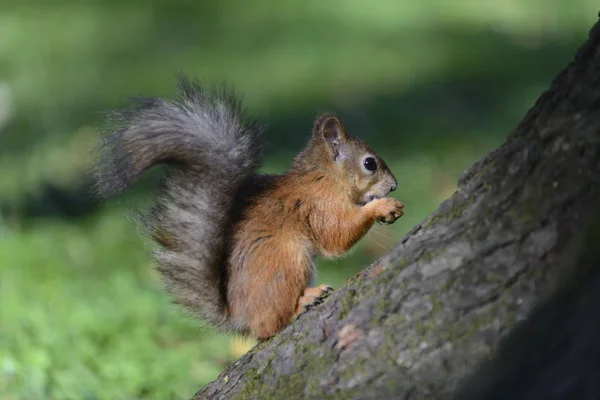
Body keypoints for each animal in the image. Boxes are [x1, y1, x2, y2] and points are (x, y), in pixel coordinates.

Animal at [92, 76, 404, 340]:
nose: (394, 186)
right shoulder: (319, 204)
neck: (326, 176)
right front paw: (381, 207)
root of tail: (238, 317)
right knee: (268, 327)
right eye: (369, 163)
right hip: (286, 262)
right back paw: (303, 301)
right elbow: (336, 236)